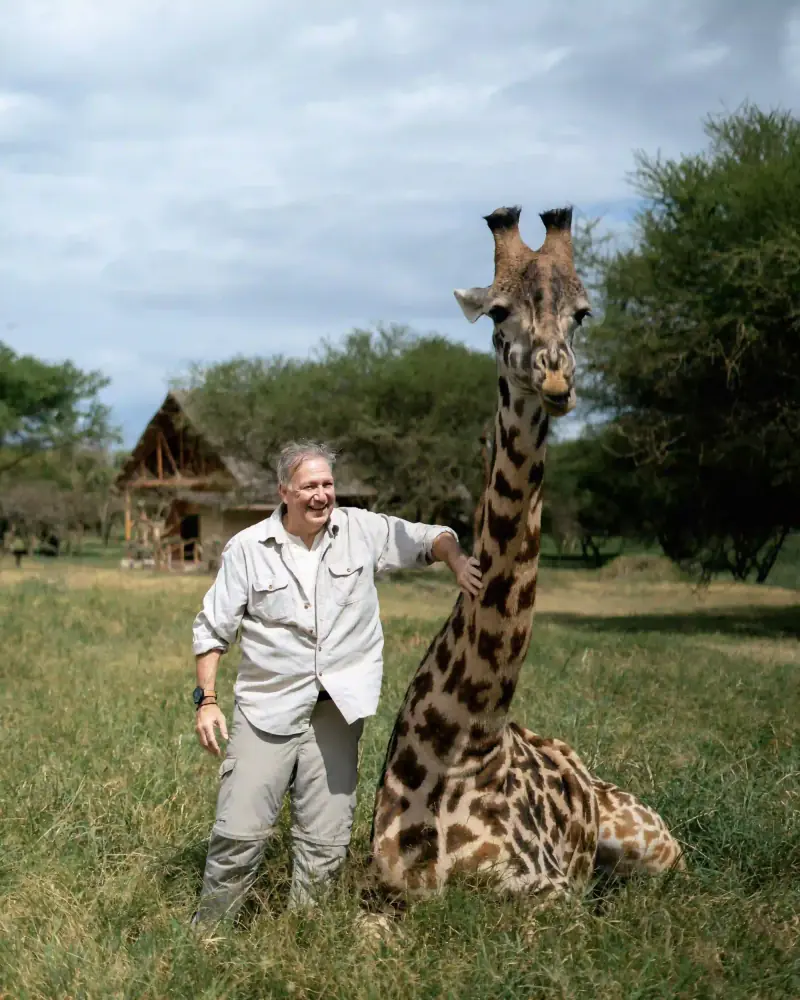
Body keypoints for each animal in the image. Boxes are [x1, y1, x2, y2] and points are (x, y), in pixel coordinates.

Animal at [367, 205, 684, 904]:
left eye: (583, 313)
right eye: (496, 312)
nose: (558, 379)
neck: (469, 736)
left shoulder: (547, 893)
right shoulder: (381, 888)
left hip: (656, 845)